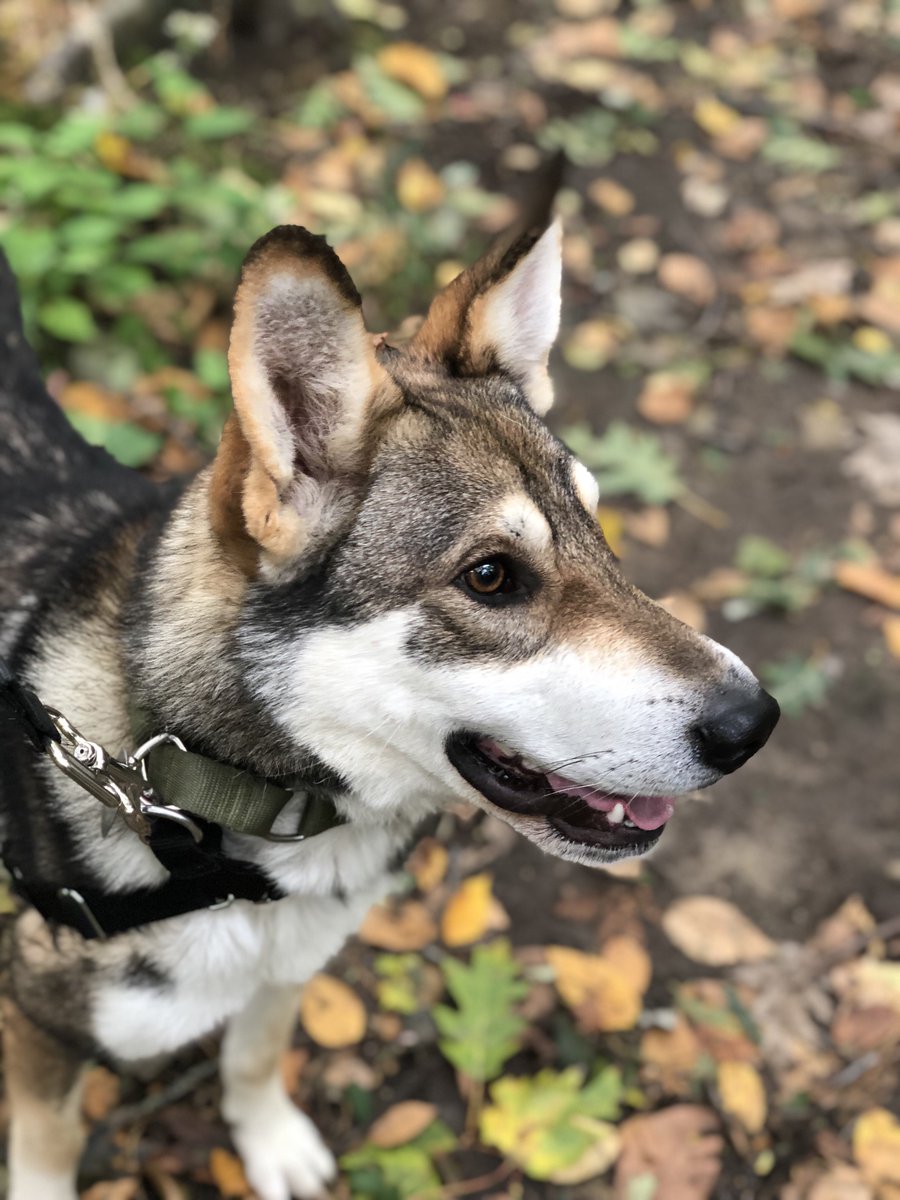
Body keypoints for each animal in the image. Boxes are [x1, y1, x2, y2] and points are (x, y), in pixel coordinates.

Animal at [0, 211, 777, 1195]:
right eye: (490, 576)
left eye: (598, 531)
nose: (755, 724)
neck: (206, 795)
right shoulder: (42, 1032)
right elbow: (46, 1153)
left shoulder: (288, 968)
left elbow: (255, 1056)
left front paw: (270, 1140)